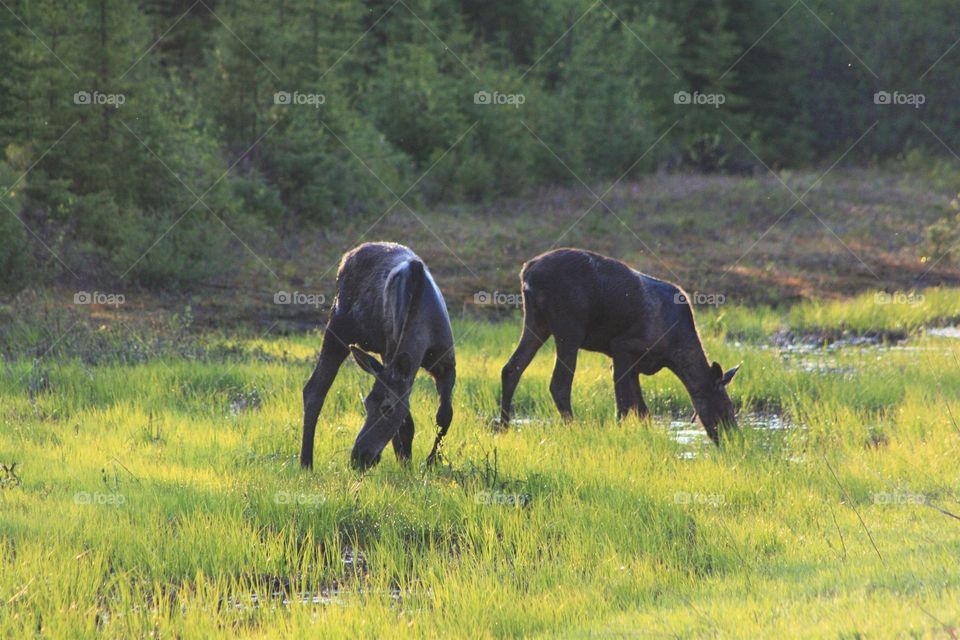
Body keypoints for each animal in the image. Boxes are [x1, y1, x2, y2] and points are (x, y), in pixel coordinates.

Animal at [300, 242, 456, 470]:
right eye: (366, 404)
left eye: (387, 408)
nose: (358, 457)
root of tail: (347, 256)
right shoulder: (392, 354)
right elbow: (408, 422)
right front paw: (406, 463)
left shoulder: (446, 363)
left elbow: (445, 415)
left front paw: (429, 462)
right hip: (338, 328)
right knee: (314, 389)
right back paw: (306, 462)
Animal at [498, 248, 740, 444]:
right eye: (726, 409)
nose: (733, 438)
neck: (673, 353)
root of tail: (527, 272)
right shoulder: (622, 348)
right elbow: (624, 405)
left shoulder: (634, 364)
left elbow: (642, 410)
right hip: (568, 327)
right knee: (559, 383)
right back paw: (573, 428)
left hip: (537, 322)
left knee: (511, 369)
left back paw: (503, 426)